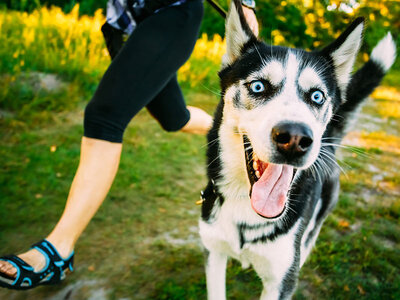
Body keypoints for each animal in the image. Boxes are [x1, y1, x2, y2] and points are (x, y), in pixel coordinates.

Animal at [198, 1, 396, 298]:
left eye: (317, 96)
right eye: (258, 86)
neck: (247, 208)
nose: (294, 138)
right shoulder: (214, 254)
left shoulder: (280, 281)